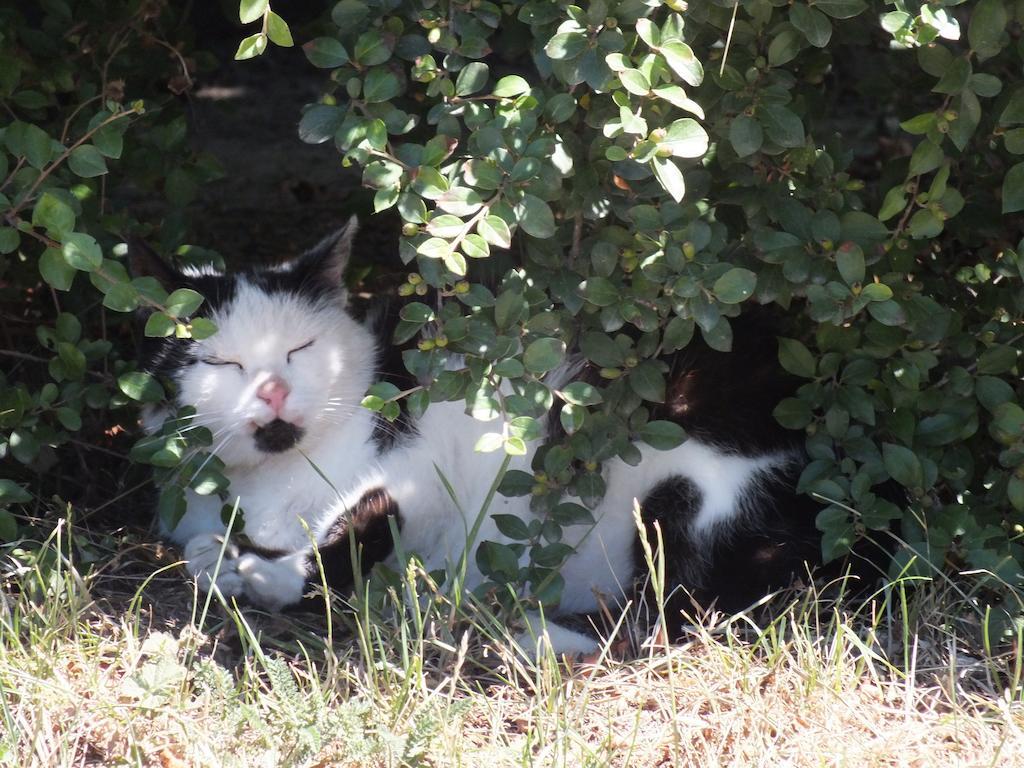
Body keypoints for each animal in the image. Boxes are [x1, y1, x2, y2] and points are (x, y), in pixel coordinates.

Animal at [132, 221, 843, 655]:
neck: (285, 481)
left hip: (683, 493)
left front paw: (265, 572)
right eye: (223, 363)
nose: (274, 391)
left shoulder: (420, 460)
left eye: (299, 349)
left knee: (664, 620)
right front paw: (227, 560)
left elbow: (357, 530)